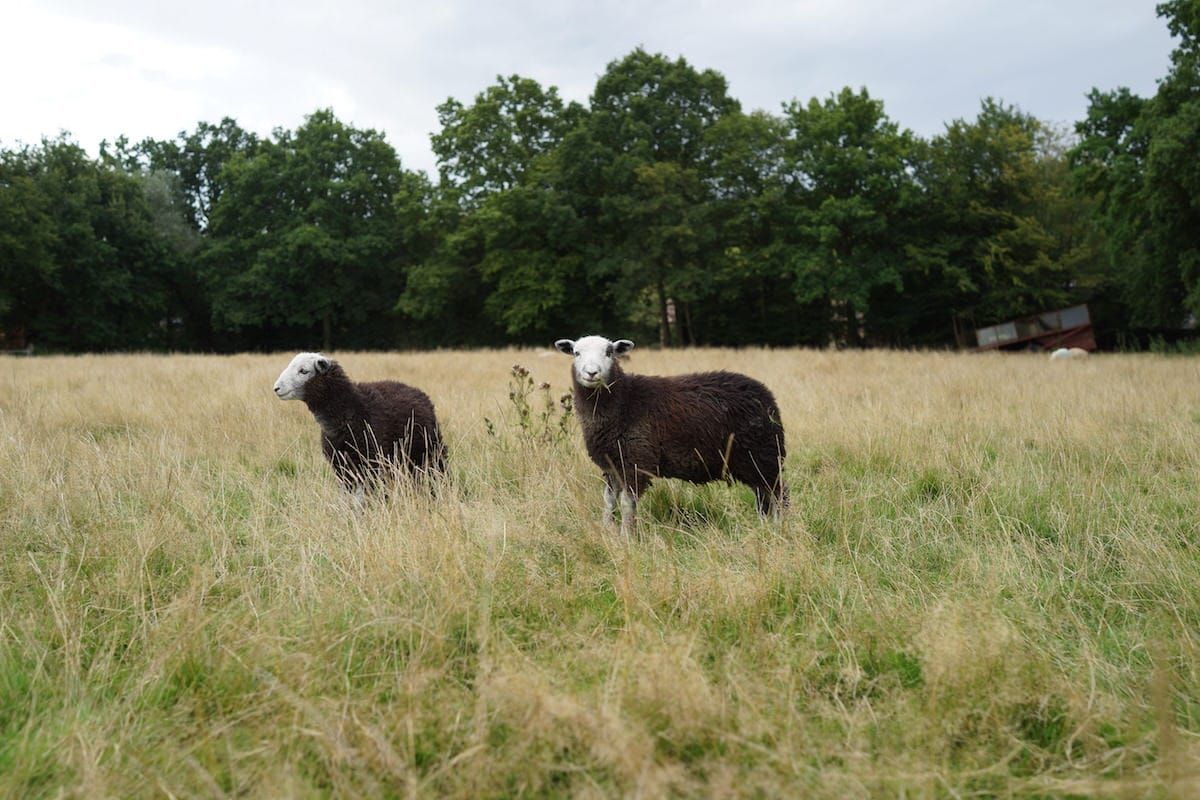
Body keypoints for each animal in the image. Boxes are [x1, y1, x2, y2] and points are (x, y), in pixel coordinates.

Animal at [273, 352, 446, 493]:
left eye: (303, 371)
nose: (276, 388)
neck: (353, 408)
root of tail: (417, 392)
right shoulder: (342, 465)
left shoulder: (371, 461)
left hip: (429, 451)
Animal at [554, 335, 787, 537]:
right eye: (576, 353)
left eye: (609, 352)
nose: (591, 373)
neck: (624, 401)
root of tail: (765, 394)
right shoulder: (612, 464)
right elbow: (609, 500)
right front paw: (607, 530)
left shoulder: (636, 461)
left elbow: (627, 504)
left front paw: (626, 538)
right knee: (763, 496)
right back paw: (765, 526)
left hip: (764, 455)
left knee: (777, 494)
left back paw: (779, 528)